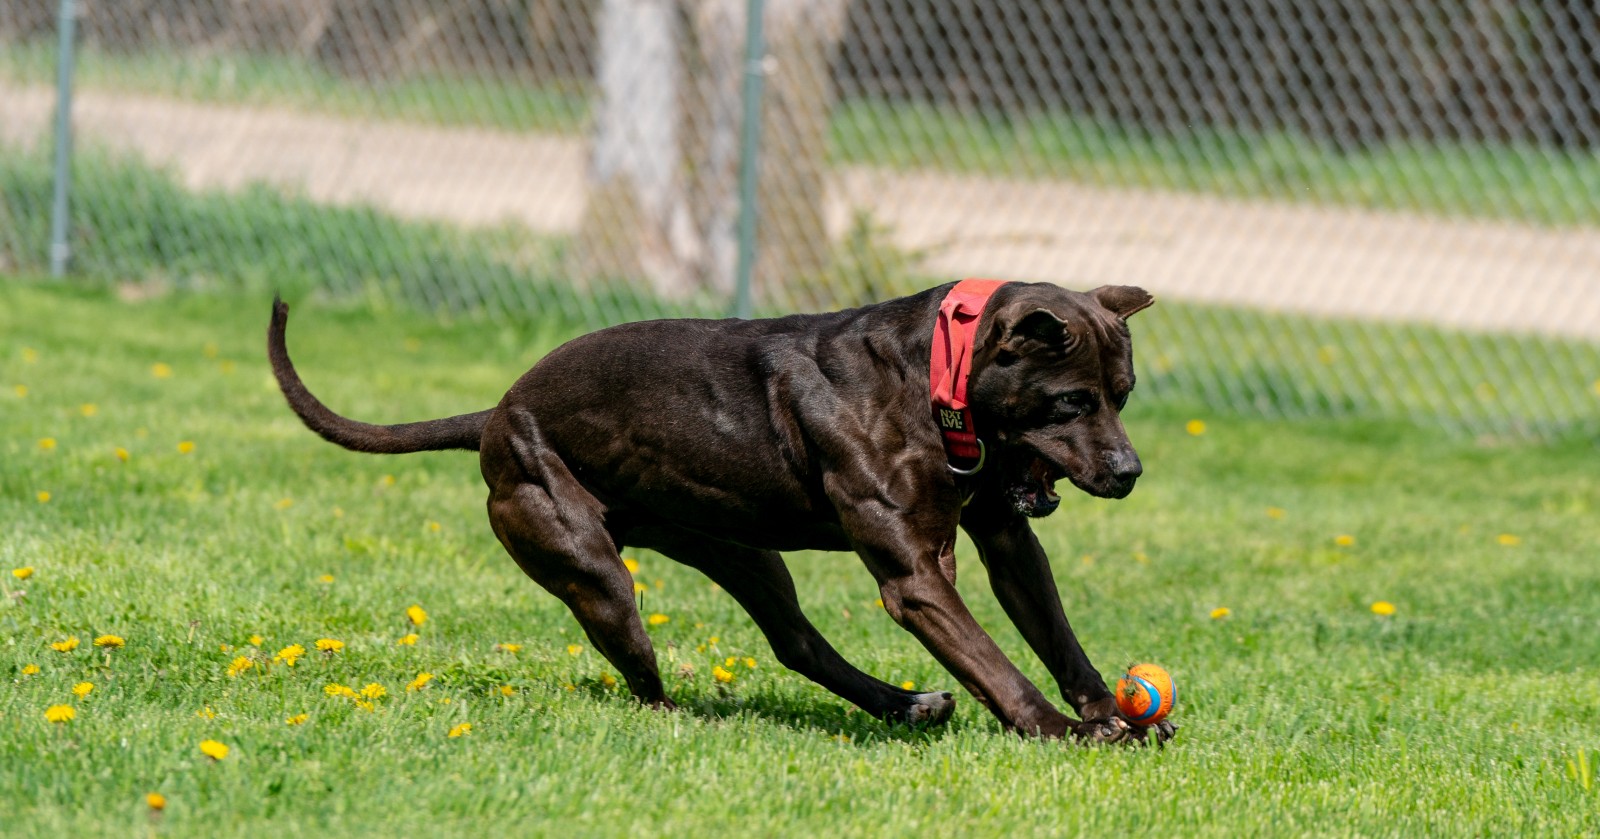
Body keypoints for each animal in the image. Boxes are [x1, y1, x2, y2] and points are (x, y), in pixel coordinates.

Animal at [272, 280, 1177, 739]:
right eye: (1070, 401)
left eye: (1123, 394)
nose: (1130, 471)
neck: (934, 376)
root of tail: (494, 413)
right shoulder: (917, 576)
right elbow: (992, 662)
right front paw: (1060, 728)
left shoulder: (1005, 536)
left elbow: (1055, 634)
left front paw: (1110, 711)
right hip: (593, 570)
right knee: (643, 669)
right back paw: (682, 717)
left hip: (742, 550)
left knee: (797, 642)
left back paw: (903, 703)